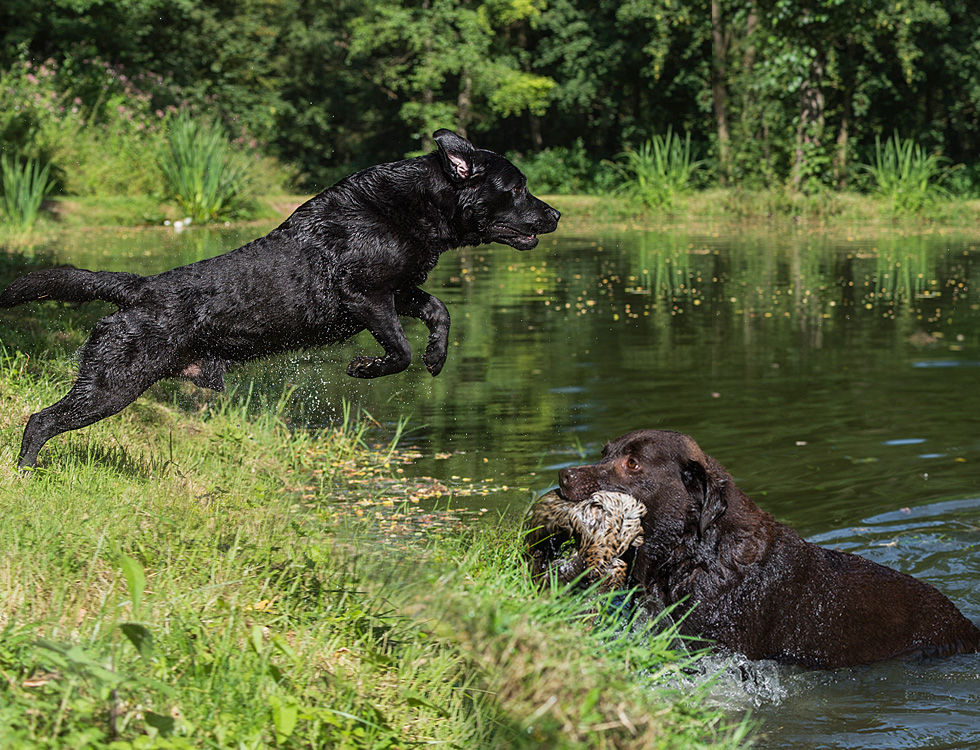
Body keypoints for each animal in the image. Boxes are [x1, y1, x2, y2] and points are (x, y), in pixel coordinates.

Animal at [0, 131, 560, 470]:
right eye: (517, 188)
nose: (555, 213)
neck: (406, 208)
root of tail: (138, 288)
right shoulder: (365, 296)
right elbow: (398, 350)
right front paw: (365, 368)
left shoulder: (400, 291)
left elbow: (440, 311)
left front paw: (437, 357)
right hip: (112, 384)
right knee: (40, 420)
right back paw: (27, 475)